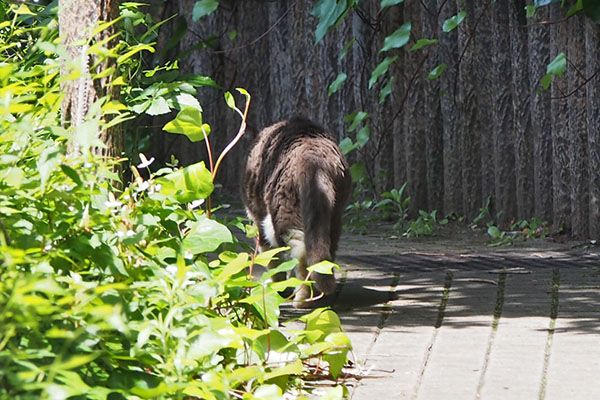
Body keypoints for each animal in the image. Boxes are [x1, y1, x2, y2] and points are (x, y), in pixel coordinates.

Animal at [241, 117, 352, 308]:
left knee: (300, 254)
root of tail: (314, 162)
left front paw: (276, 285)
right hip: (333, 216)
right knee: (323, 254)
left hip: (285, 215)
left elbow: (273, 259)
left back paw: (302, 299)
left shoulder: (258, 219)